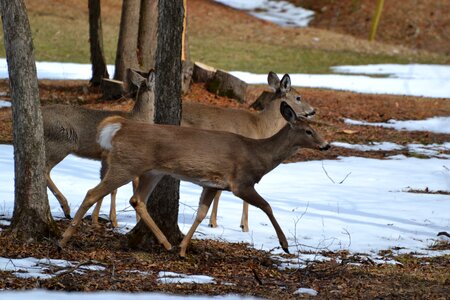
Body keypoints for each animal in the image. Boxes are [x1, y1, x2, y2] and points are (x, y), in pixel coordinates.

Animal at [42, 69, 155, 226]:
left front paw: (101, 219)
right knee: (45, 169)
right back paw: (66, 208)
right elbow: (113, 187)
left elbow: (110, 185)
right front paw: (109, 220)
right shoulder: (111, 154)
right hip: (61, 142)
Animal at [58, 102, 328, 256]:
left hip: (153, 171)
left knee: (137, 200)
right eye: (308, 131)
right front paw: (285, 244)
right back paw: (63, 240)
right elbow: (268, 206)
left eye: (316, 129)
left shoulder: (213, 184)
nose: (326, 145)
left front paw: (182, 249)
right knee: (93, 192)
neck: (258, 155)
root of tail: (120, 127)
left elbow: (201, 213)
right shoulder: (240, 183)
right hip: (127, 164)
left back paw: (167, 244)